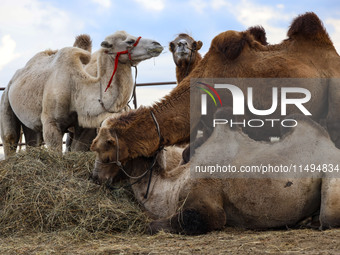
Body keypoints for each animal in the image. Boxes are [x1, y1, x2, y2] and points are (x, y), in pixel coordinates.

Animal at [0, 30, 163, 157]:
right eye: (129, 41)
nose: (157, 45)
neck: (77, 87)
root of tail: (13, 79)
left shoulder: (82, 126)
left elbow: (78, 149)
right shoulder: (50, 122)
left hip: (30, 123)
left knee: (33, 140)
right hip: (5, 99)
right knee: (10, 137)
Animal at [90, 107, 340, 233]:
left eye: (104, 148)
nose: (95, 177)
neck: (171, 186)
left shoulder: (207, 207)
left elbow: (154, 225)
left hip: (332, 178)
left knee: (329, 218)